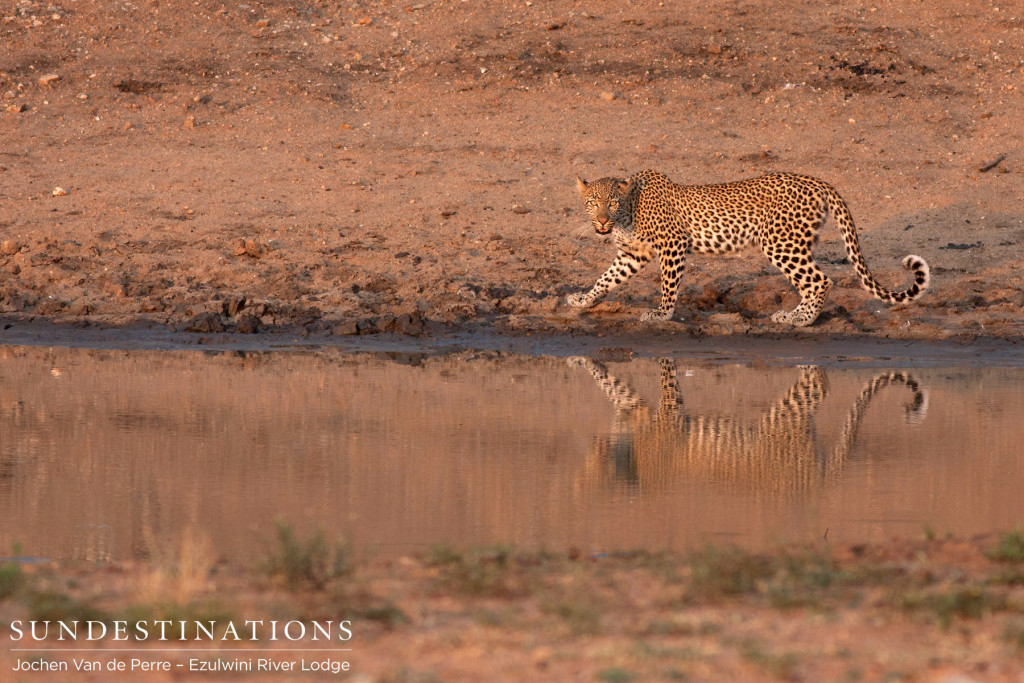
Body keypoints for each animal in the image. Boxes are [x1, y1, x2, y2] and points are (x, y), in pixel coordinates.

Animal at [573, 169, 933, 327]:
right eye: (593, 203)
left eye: (612, 202)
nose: (602, 221)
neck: (627, 214)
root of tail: (817, 181)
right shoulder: (633, 254)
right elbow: (607, 277)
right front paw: (584, 299)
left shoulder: (674, 245)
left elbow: (668, 285)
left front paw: (662, 313)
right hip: (794, 243)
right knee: (813, 281)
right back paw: (796, 314)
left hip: (780, 242)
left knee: (820, 280)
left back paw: (799, 319)